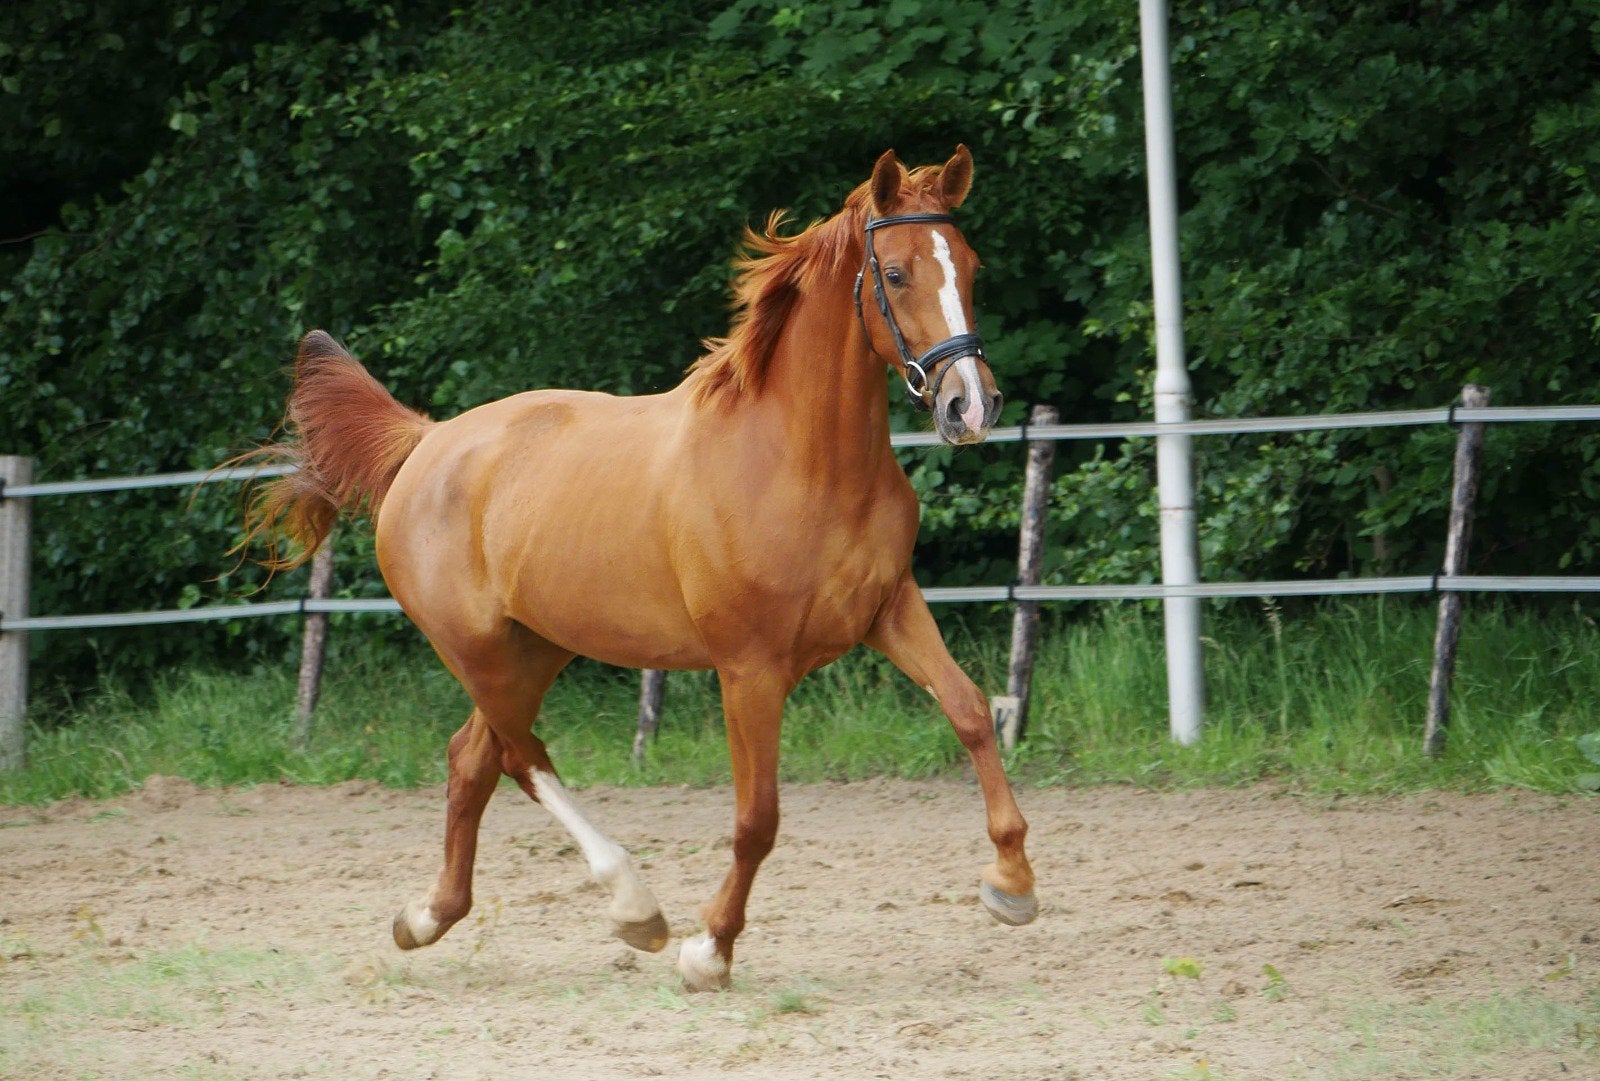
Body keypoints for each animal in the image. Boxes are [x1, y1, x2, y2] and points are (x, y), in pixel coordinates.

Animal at [239, 146, 1038, 991]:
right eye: (894, 273)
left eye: (971, 266)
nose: (971, 407)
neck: (802, 463)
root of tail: (426, 442)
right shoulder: (749, 666)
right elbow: (757, 816)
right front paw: (709, 949)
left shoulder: (890, 609)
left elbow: (969, 709)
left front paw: (1012, 885)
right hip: (477, 648)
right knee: (520, 755)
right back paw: (635, 907)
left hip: (536, 646)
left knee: (473, 757)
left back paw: (428, 917)